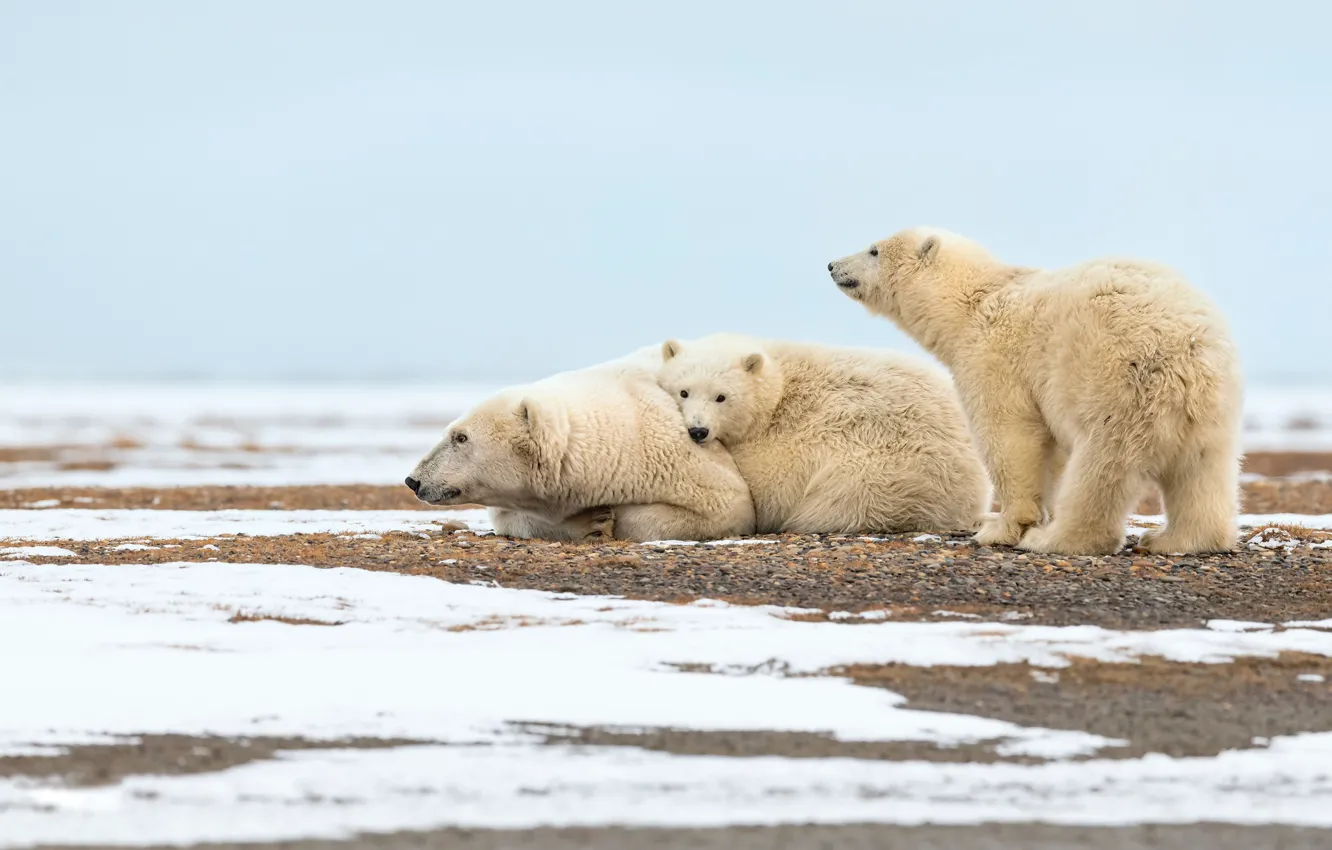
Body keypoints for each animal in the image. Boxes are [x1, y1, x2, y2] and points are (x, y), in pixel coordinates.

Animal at [406, 347, 756, 542]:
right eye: (450, 431)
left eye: (460, 437)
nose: (413, 480)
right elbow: (511, 516)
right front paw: (591, 523)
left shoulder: (678, 454)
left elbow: (727, 503)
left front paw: (607, 517)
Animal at [828, 227, 1242, 556]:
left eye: (873, 250)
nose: (832, 265)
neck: (971, 302)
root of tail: (1189, 351)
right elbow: (1050, 448)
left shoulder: (995, 357)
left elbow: (1009, 435)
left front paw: (1002, 528)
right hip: (1209, 412)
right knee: (1203, 473)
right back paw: (1176, 540)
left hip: (1119, 383)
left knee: (1102, 466)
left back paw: (1056, 539)